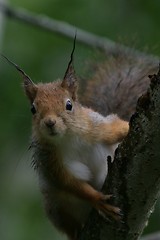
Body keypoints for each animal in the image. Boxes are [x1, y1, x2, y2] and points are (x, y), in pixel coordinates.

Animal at [1, 40, 157, 238]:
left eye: (69, 105)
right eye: (33, 109)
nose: (50, 122)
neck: (69, 137)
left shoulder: (98, 127)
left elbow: (117, 128)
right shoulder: (49, 161)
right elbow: (68, 182)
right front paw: (98, 200)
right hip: (58, 209)